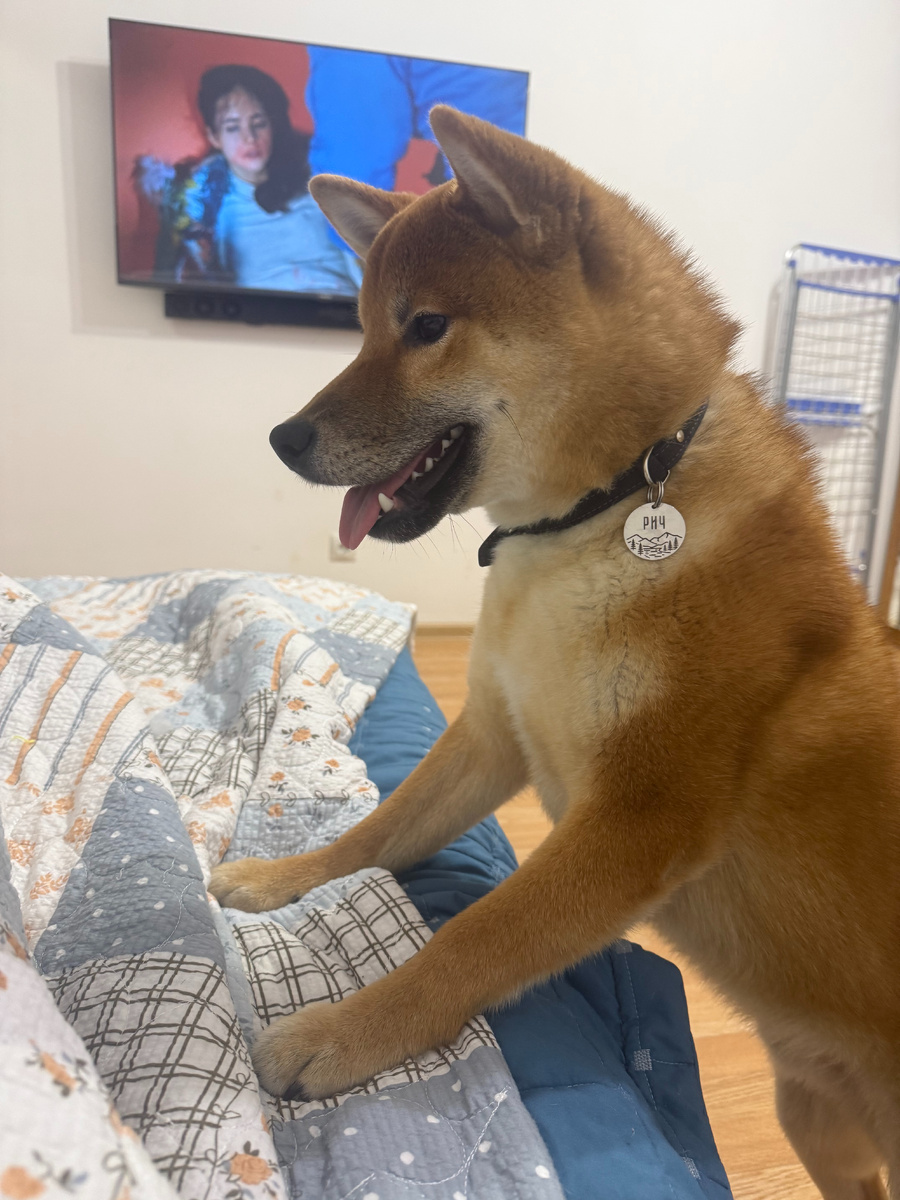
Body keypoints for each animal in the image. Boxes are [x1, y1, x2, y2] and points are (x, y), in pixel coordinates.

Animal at [210, 107, 900, 1199]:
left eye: (426, 327)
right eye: (362, 326)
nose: (284, 438)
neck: (604, 510)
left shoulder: (638, 821)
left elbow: (473, 940)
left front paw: (340, 1033)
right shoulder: (496, 729)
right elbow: (382, 829)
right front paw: (286, 878)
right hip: (815, 1118)